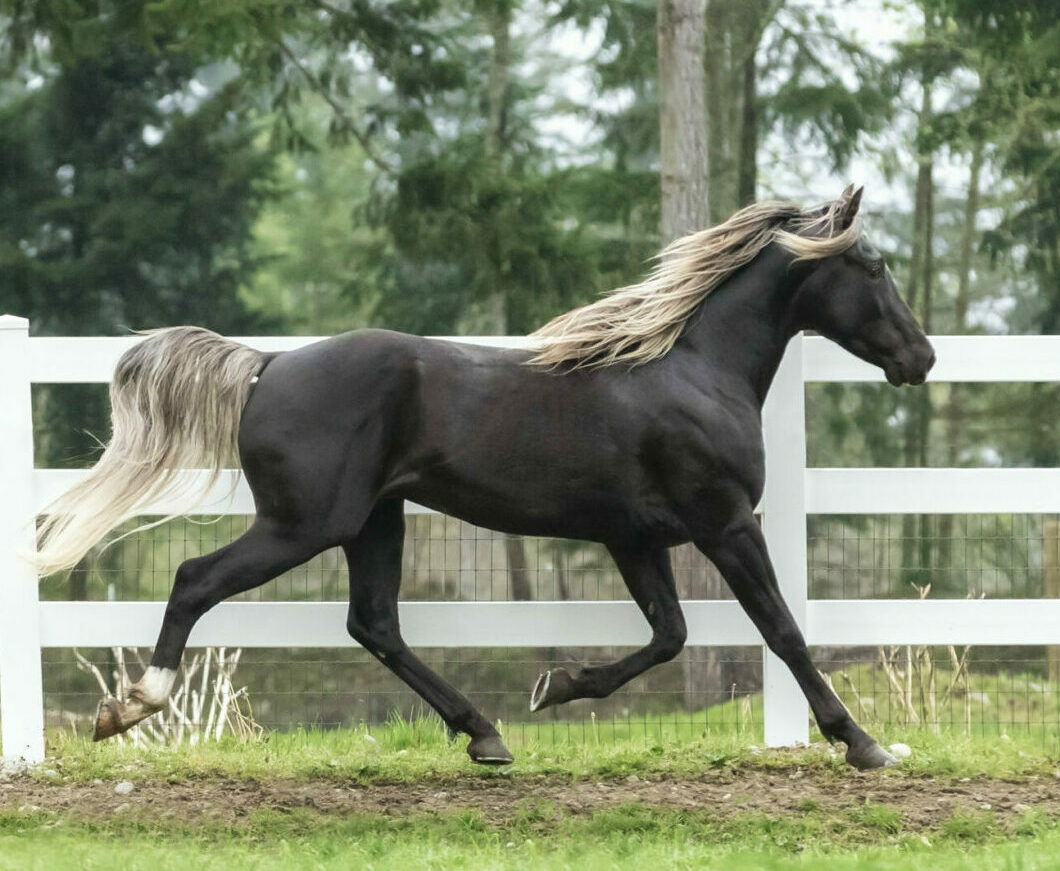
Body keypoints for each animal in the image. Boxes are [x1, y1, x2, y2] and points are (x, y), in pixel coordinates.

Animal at [35, 186, 935, 769]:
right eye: (875, 264)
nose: (921, 357)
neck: (692, 370)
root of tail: (268, 364)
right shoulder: (724, 522)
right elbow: (782, 630)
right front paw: (864, 744)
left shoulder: (634, 537)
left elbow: (669, 635)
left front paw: (556, 684)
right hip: (305, 523)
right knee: (196, 578)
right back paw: (130, 706)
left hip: (375, 521)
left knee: (375, 623)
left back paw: (486, 732)